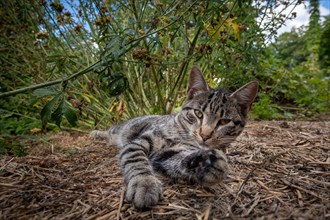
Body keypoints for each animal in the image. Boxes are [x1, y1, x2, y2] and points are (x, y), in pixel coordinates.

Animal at [90, 66, 258, 209]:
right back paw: (95, 134)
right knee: (109, 131)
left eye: (224, 121)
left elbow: (178, 159)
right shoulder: (138, 143)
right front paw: (144, 183)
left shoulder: (166, 154)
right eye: (198, 113)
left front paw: (206, 163)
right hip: (120, 129)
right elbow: (136, 160)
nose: (205, 135)